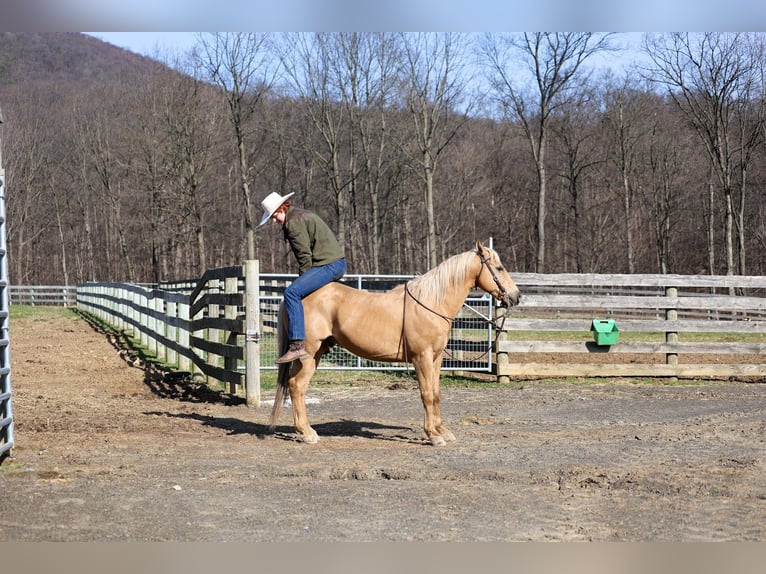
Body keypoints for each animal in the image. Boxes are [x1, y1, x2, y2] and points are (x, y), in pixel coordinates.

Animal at [268, 241, 521, 446]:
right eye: (499, 268)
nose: (516, 296)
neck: (431, 303)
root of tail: (294, 295)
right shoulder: (422, 357)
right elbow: (426, 394)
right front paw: (433, 435)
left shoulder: (436, 358)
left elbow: (436, 393)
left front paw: (442, 430)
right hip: (309, 353)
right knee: (296, 386)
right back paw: (307, 433)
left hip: (317, 352)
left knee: (297, 386)